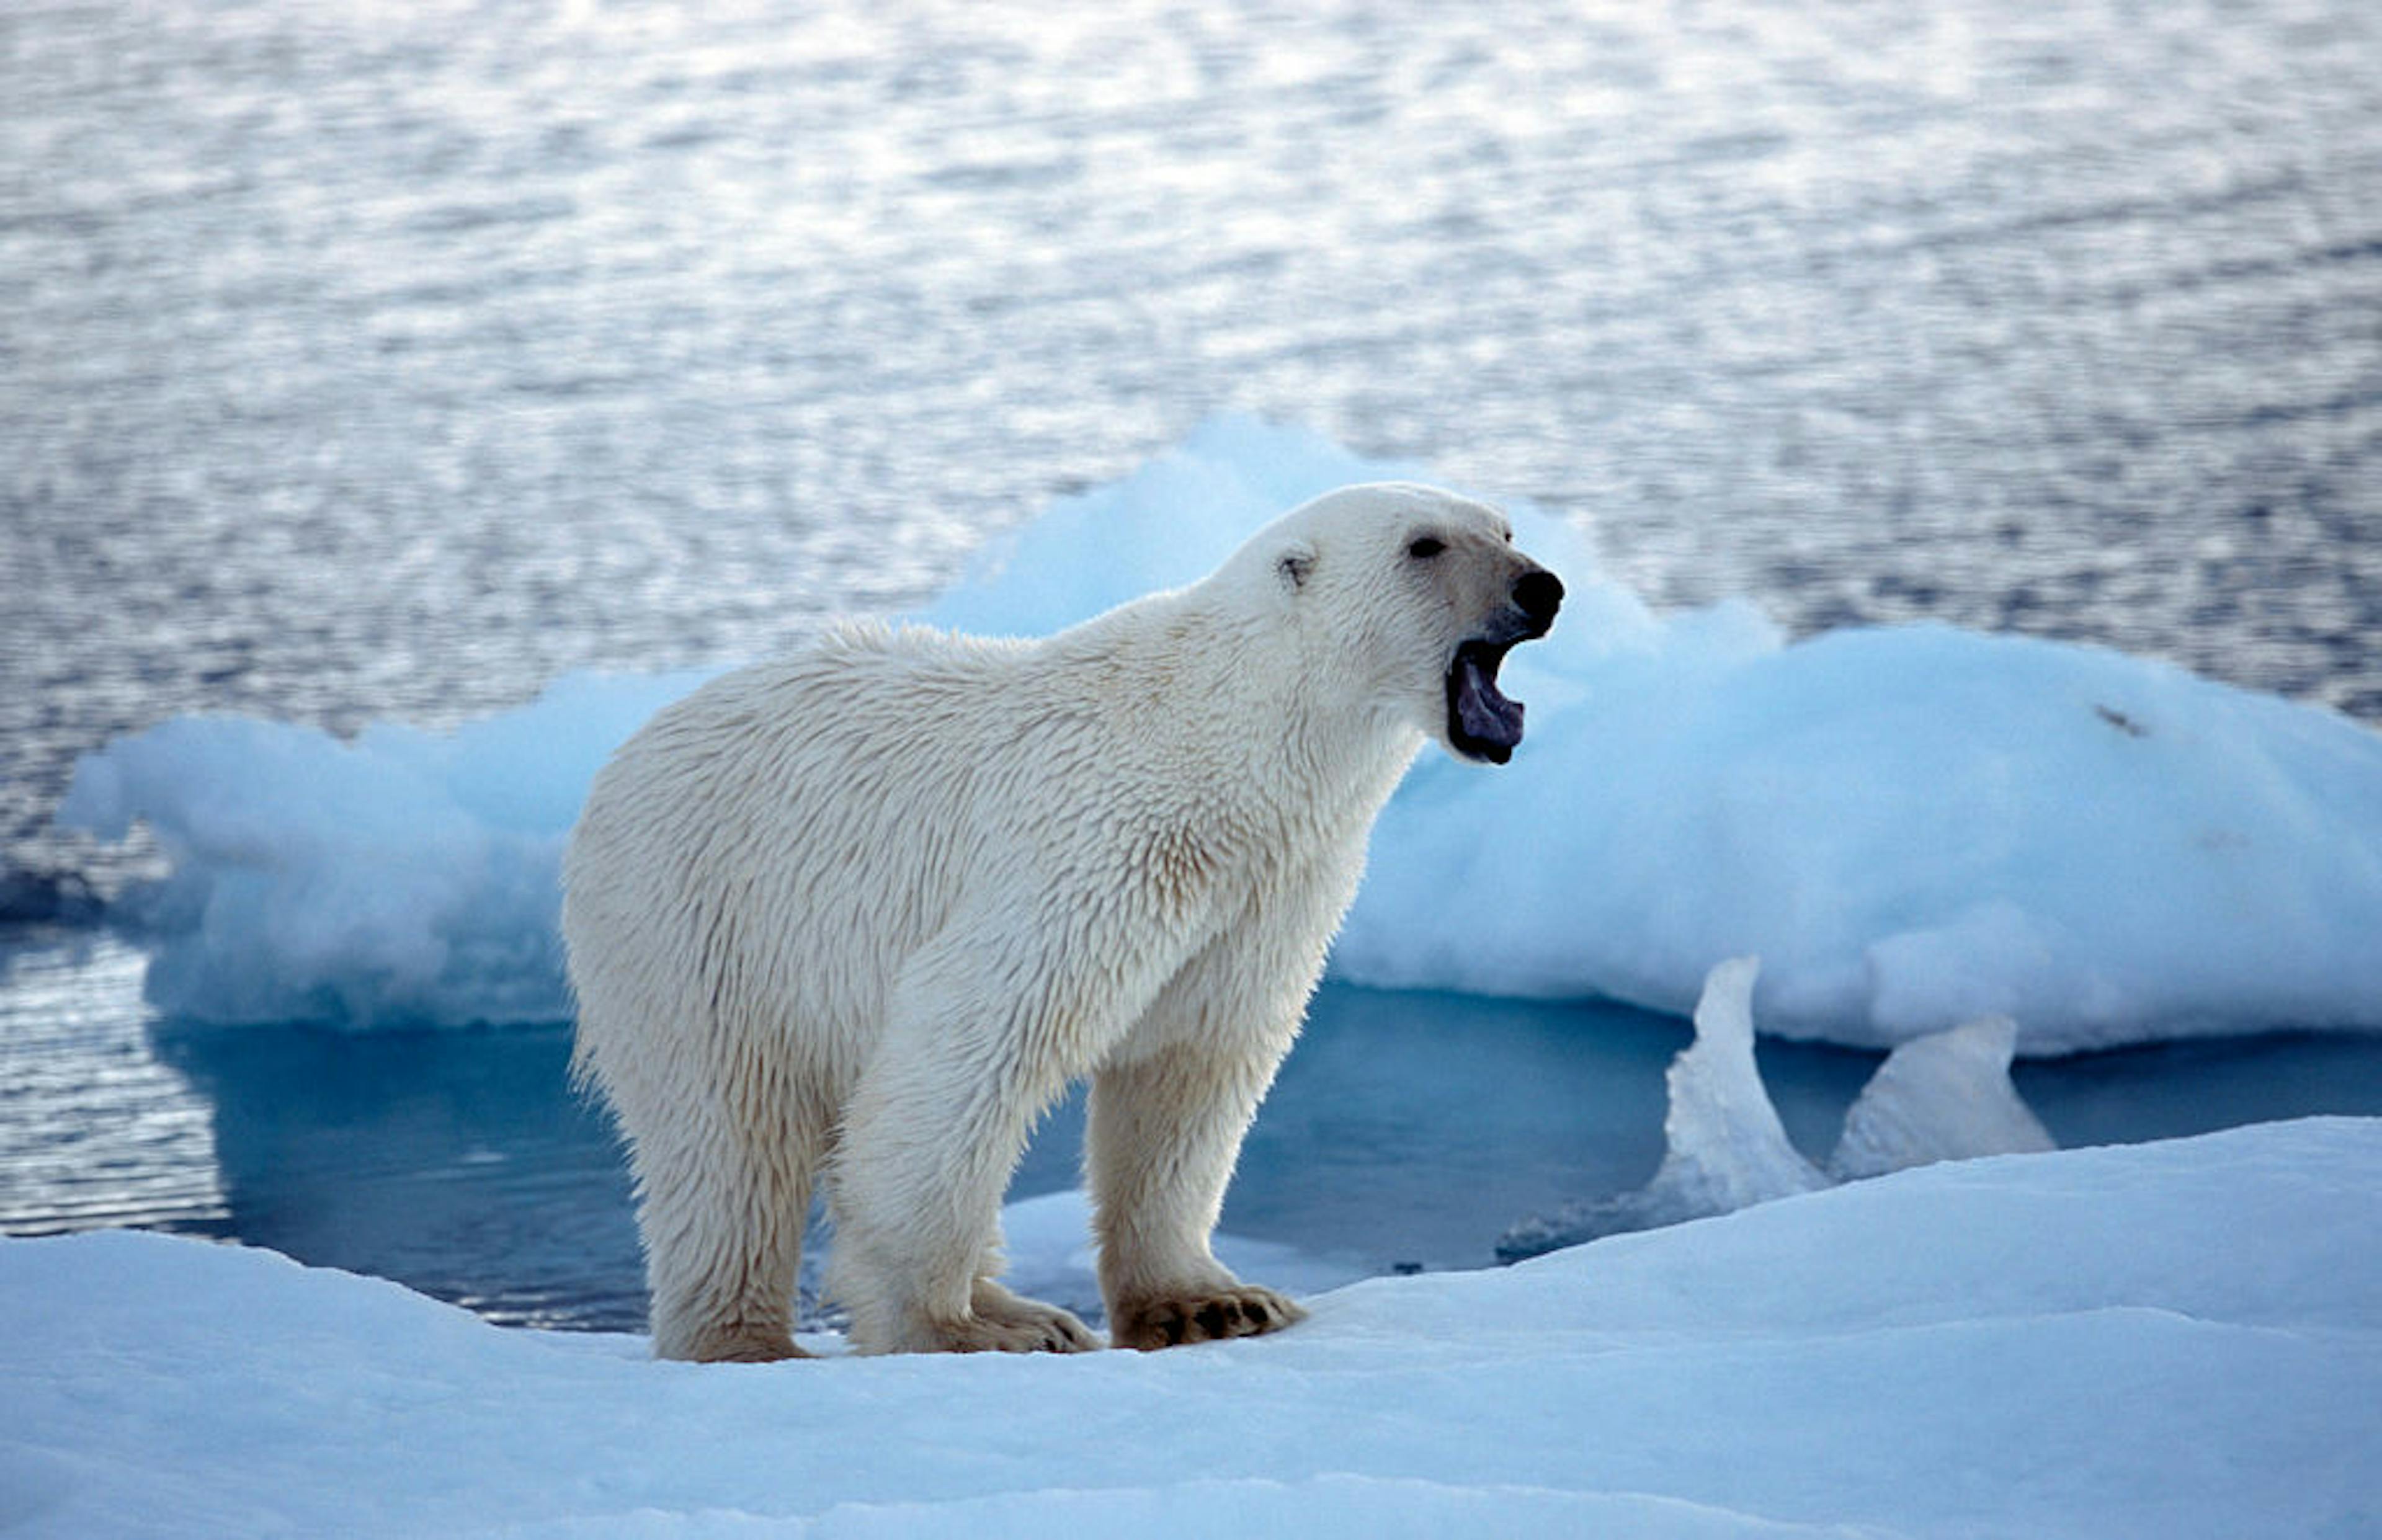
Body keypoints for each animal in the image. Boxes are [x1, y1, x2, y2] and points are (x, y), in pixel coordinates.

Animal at [561, 483, 1562, 1360]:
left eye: (1505, 527)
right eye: (1424, 544)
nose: (1542, 587)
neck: (1223, 749)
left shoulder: (1265, 895)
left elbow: (1191, 1070)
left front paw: (1214, 1303)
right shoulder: (1088, 848)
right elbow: (972, 1038)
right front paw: (949, 1328)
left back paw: (1015, 1299)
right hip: (699, 920)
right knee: (730, 1138)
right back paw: (752, 1338)